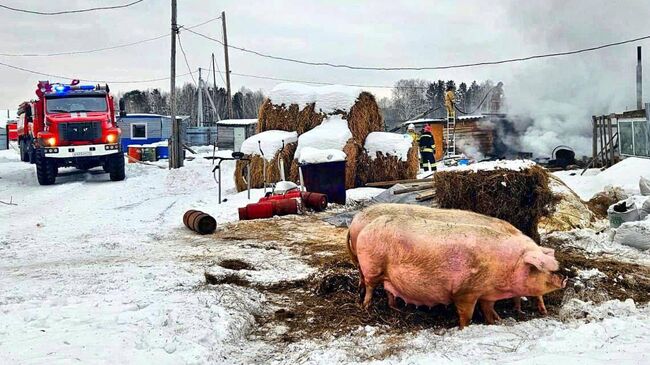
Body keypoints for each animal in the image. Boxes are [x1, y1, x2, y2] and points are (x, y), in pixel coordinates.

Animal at [350, 213, 560, 328]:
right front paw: (464, 328)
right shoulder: (465, 291)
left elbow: (489, 310)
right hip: (371, 267)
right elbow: (466, 314)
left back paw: (395, 308)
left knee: (388, 290)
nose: (564, 277)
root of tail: (365, 227)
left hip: (387, 275)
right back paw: (365, 306)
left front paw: (498, 320)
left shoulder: (486, 294)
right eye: (541, 268)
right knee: (370, 286)